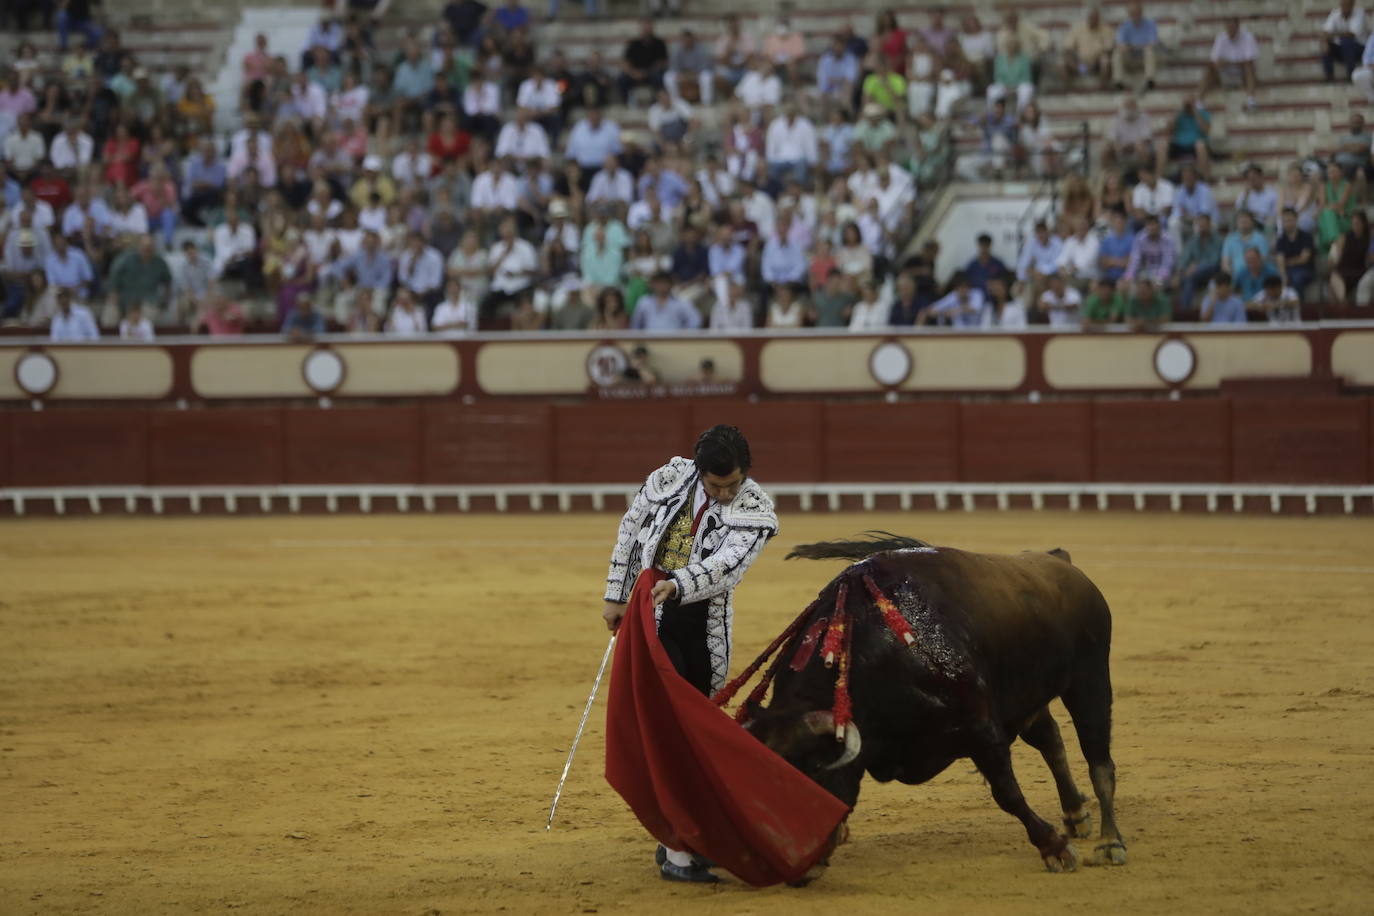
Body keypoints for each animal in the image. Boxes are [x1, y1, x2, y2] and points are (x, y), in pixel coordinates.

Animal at [747, 538, 1132, 873]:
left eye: (812, 771)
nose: (796, 866)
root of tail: (1061, 563)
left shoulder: (982, 730)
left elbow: (1007, 794)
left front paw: (1054, 848)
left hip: (1089, 677)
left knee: (1099, 761)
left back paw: (1110, 842)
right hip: (1027, 697)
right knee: (1051, 741)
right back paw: (1076, 815)